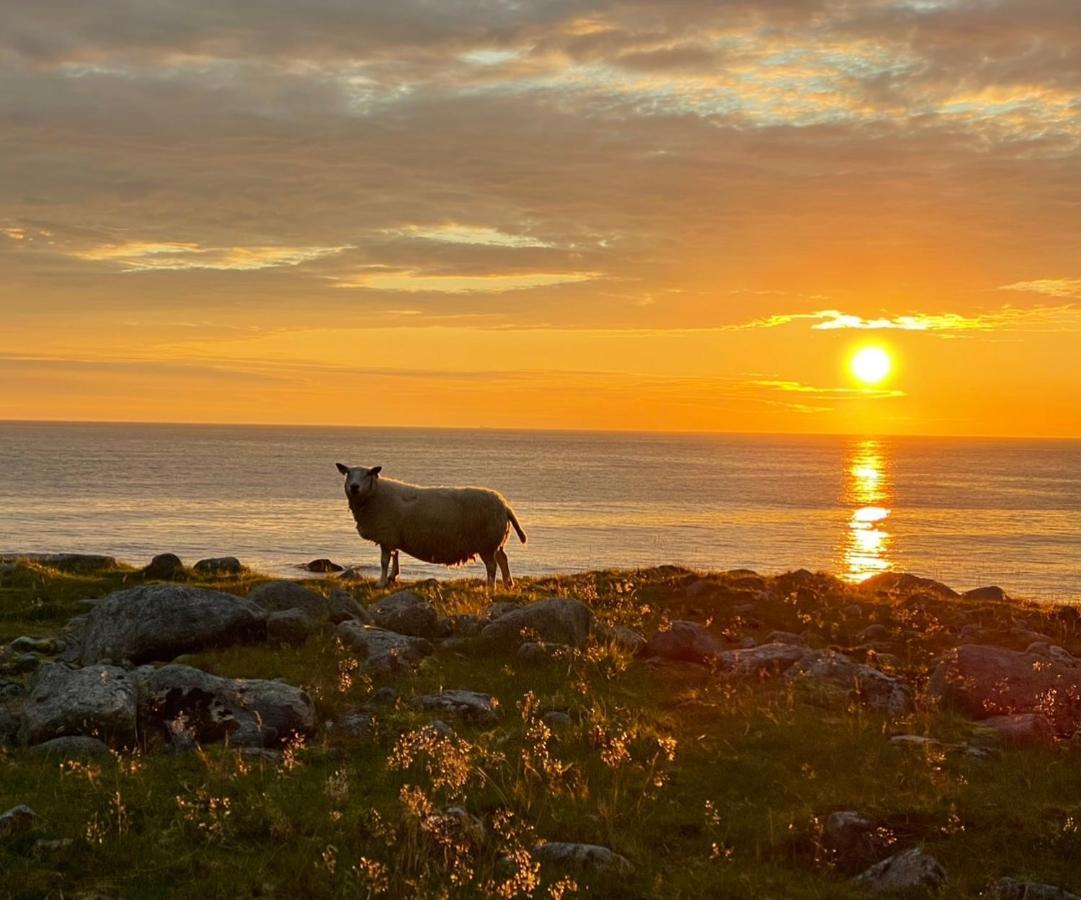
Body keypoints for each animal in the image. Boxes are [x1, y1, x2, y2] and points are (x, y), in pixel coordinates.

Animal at [332, 462, 527, 587]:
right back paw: (508, 584)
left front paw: (380, 583)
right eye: (348, 473)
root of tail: (504, 504)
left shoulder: (386, 535)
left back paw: (490, 587)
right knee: (503, 558)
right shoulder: (394, 535)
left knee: (492, 566)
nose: (354, 487)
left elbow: (384, 561)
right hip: (495, 541)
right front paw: (392, 577)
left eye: (367, 474)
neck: (375, 495)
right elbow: (395, 556)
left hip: (486, 542)